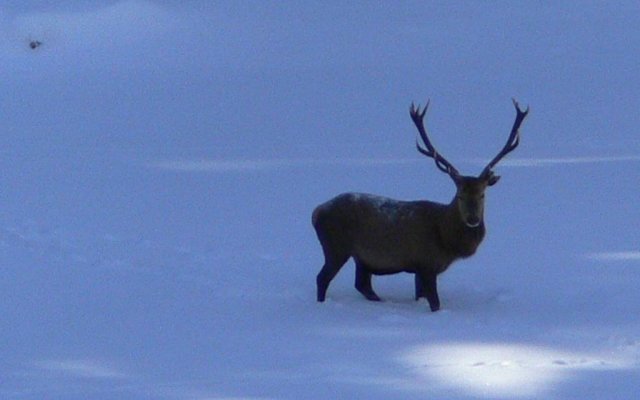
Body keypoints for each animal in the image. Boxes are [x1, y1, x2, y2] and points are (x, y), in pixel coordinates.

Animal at [312, 100, 528, 312]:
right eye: (459, 195)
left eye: (482, 194)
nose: (473, 219)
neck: (447, 239)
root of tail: (316, 212)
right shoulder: (427, 263)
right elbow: (435, 304)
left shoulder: (420, 269)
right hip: (335, 246)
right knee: (322, 278)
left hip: (361, 257)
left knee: (362, 284)